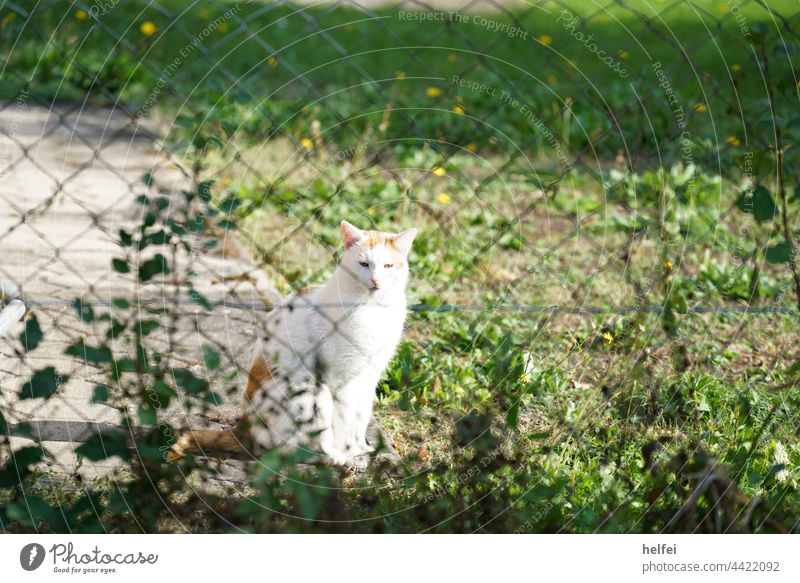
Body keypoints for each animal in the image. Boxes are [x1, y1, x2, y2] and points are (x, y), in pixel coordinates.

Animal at [170, 220, 418, 470]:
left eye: (388, 265)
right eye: (364, 264)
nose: (375, 280)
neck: (373, 308)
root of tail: (244, 429)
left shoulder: (369, 377)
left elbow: (361, 417)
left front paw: (360, 448)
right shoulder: (342, 381)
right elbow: (345, 423)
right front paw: (350, 454)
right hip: (312, 393)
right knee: (288, 450)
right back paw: (332, 457)